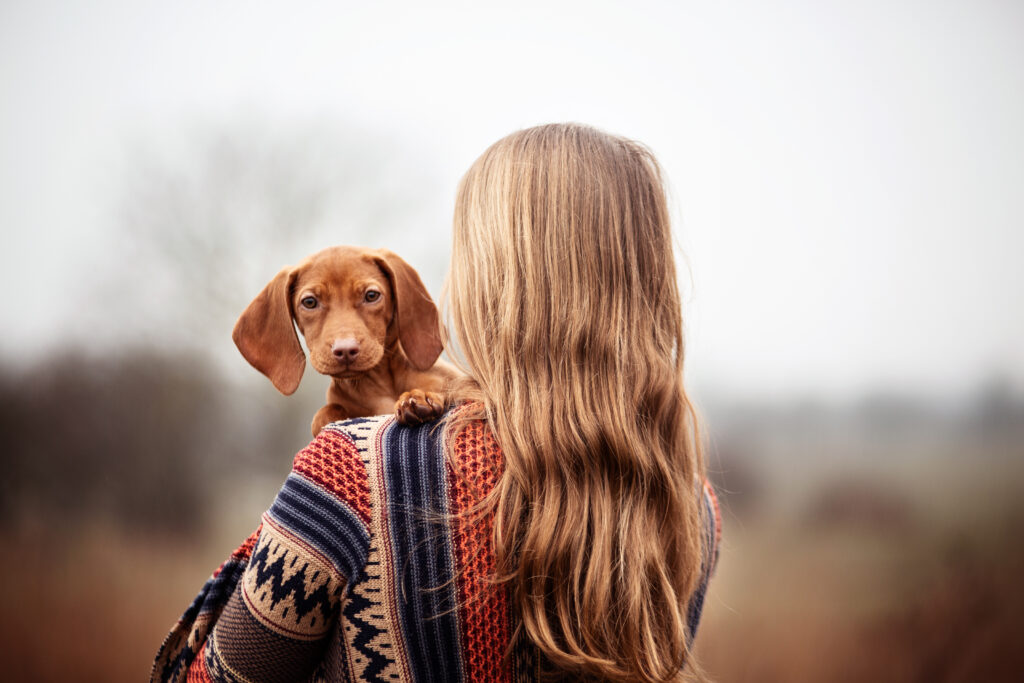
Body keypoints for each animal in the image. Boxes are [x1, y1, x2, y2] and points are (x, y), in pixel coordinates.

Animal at [234, 248, 458, 436]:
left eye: (371, 295)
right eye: (309, 302)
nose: (345, 350)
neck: (380, 383)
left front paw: (417, 398)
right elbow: (324, 413)